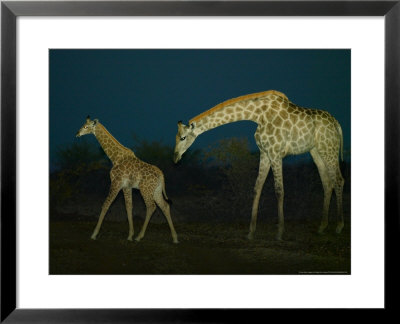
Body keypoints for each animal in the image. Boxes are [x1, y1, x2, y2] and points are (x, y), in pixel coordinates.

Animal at [173, 90, 344, 239]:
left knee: (338, 180)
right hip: (316, 151)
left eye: (182, 137)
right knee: (327, 182)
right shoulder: (265, 153)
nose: (175, 158)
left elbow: (279, 190)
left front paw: (279, 233)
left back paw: (339, 226)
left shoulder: (275, 153)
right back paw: (322, 227)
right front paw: (250, 232)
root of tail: (336, 123)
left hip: (329, 148)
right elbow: (257, 188)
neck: (258, 115)